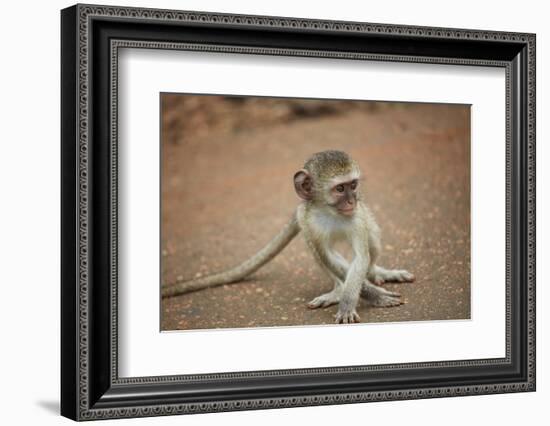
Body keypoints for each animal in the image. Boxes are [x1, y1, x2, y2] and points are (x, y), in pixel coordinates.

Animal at [162, 150, 416, 322]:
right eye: (340, 189)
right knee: (317, 251)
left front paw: (356, 300)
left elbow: (360, 257)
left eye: (353, 185)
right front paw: (367, 296)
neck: (329, 211)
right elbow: (327, 255)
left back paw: (376, 273)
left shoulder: (356, 219)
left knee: (371, 242)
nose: (353, 201)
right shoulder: (308, 219)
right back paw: (338, 290)